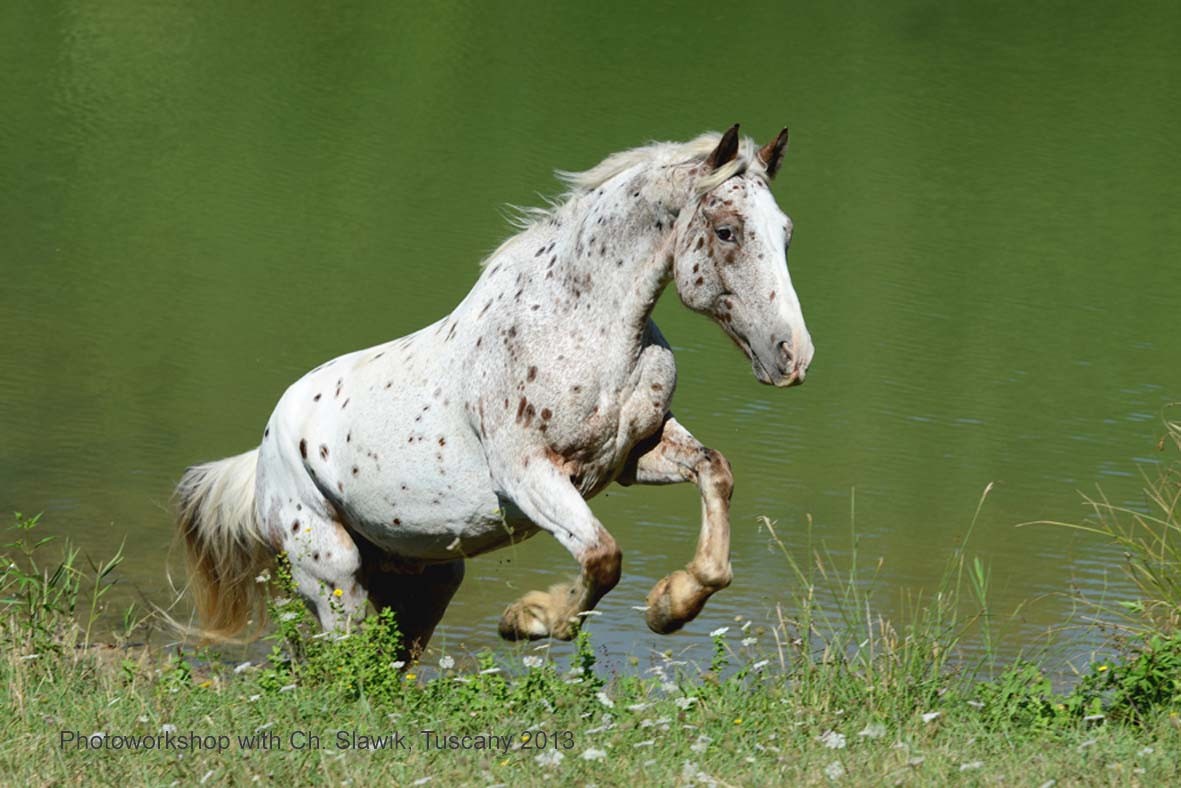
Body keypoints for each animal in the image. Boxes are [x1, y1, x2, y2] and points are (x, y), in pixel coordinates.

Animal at [174, 126, 817, 661]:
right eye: (727, 231)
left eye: (786, 232)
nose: (793, 356)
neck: (583, 327)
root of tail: (261, 456)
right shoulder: (529, 474)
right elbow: (603, 557)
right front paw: (530, 619)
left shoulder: (633, 456)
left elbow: (716, 472)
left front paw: (669, 606)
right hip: (333, 574)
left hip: (426, 581)